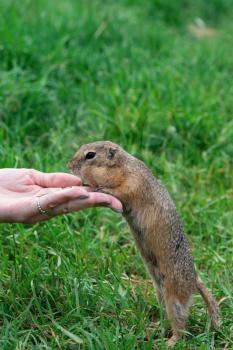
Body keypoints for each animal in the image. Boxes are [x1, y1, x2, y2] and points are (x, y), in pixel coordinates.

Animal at [68, 140, 218, 348]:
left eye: (90, 155)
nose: (69, 165)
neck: (122, 167)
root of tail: (194, 279)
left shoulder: (132, 183)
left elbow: (121, 192)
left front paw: (103, 189)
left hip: (174, 297)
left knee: (181, 326)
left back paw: (170, 341)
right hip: (160, 292)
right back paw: (155, 329)